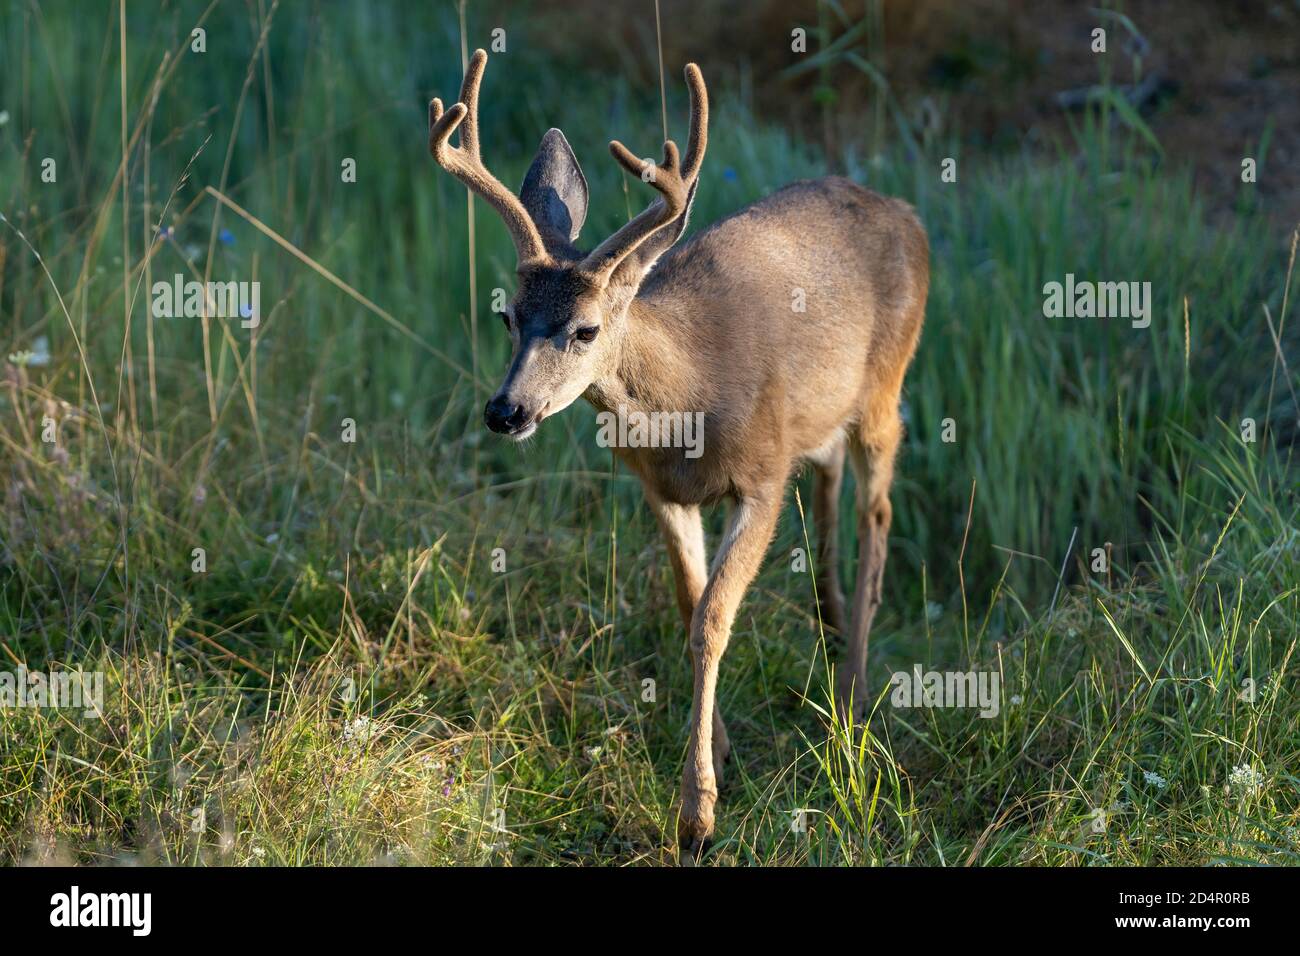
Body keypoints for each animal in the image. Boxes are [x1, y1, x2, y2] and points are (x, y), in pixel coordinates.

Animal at [431, 50, 930, 858]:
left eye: (586, 329)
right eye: (508, 314)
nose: (505, 411)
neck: (687, 399)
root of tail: (904, 211)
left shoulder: (762, 477)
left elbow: (714, 620)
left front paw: (698, 814)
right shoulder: (662, 489)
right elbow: (687, 603)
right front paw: (716, 748)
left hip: (887, 383)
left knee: (877, 511)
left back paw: (855, 690)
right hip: (825, 413)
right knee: (829, 477)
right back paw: (829, 623)